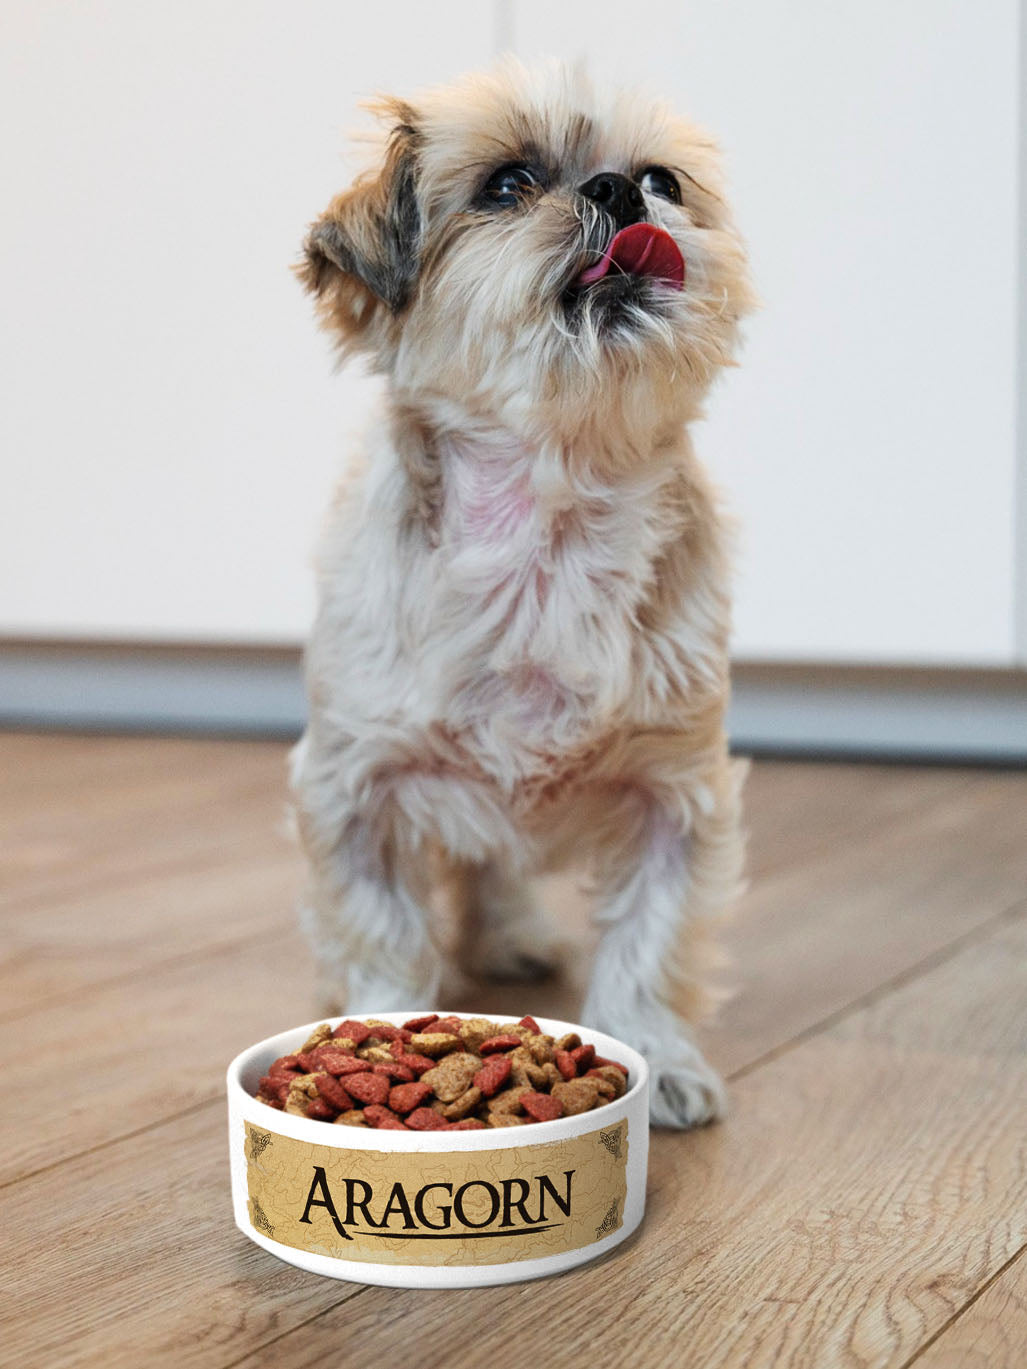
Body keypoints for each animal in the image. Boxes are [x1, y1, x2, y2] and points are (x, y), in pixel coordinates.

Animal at [290, 58, 755, 1128]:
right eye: (507, 184)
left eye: (663, 179)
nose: (619, 192)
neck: (546, 536)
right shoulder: (355, 786)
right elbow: (383, 929)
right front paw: (374, 1028)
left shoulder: (675, 794)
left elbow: (649, 946)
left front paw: (659, 1060)